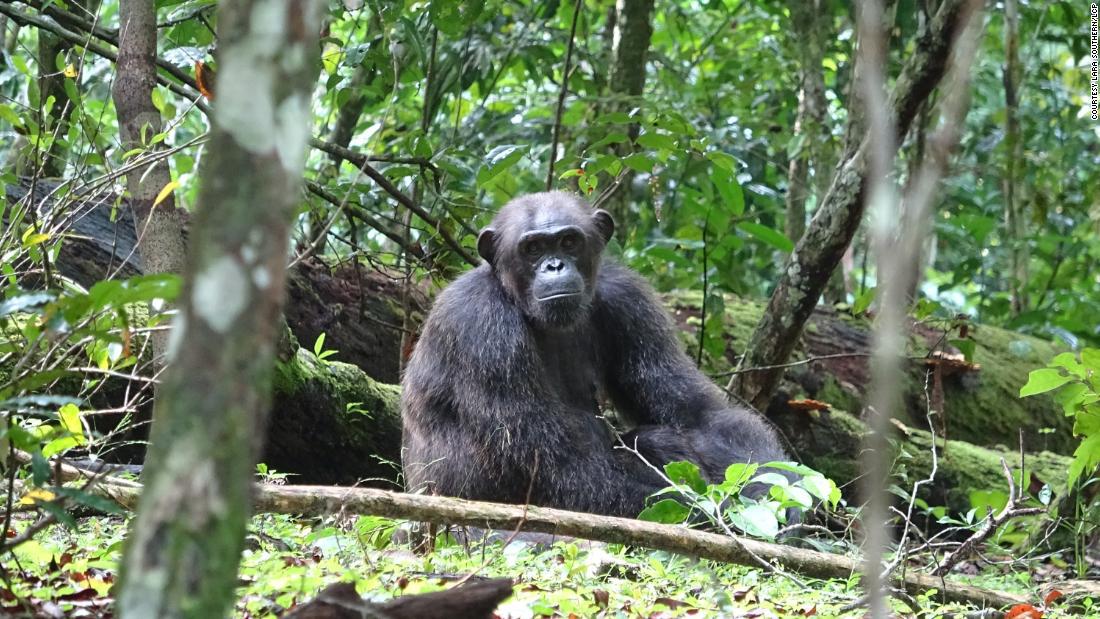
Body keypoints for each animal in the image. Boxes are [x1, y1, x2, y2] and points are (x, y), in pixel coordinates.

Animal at [402, 190, 792, 518]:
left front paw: (774, 496)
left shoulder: (629, 300)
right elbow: (559, 466)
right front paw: (708, 515)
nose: (555, 265)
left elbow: (699, 413)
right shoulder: (480, 327)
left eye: (569, 241)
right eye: (532, 249)